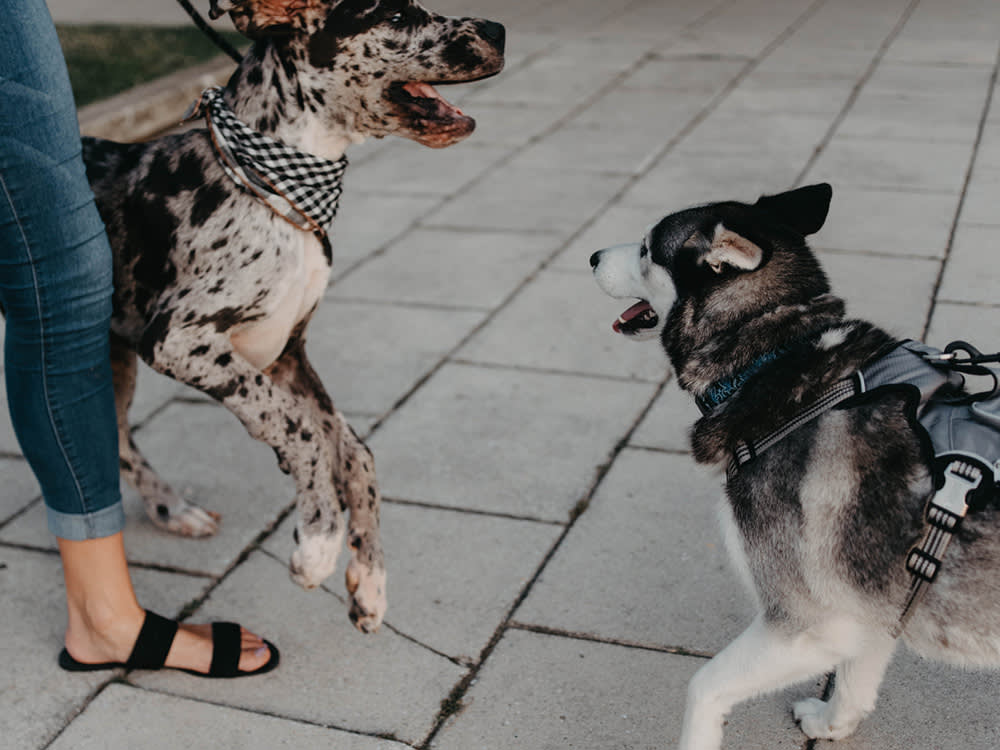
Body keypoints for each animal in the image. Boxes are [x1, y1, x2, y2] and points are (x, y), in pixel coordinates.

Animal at [84, 0, 508, 636]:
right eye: (396, 15)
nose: (500, 30)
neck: (278, 186)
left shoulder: (285, 353)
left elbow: (354, 450)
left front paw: (370, 580)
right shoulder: (179, 340)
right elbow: (298, 428)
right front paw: (318, 543)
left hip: (109, 353)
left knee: (113, 437)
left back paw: (171, 508)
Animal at [584, 184, 1000, 750]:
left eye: (647, 249)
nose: (592, 257)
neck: (774, 356)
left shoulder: (808, 624)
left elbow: (702, 687)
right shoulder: (867, 610)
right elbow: (855, 680)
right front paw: (830, 724)